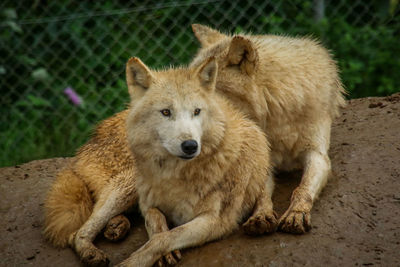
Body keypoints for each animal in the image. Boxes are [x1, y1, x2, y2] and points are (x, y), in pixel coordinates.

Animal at [43, 56, 276, 266]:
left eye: (196, 111)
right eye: (166, 112)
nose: (190, 145)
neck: (177, 175)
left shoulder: (217, 221)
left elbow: (162, 239)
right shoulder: (147, 203)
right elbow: (156, 224)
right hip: (128, 185)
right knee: (77, 233)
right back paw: (97, 247)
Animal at [191, 24, 346, 234]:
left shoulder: (317, 154)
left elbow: (302, 189)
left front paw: (296, 214)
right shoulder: (265, 159)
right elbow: (262, 194)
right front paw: (261, 216)